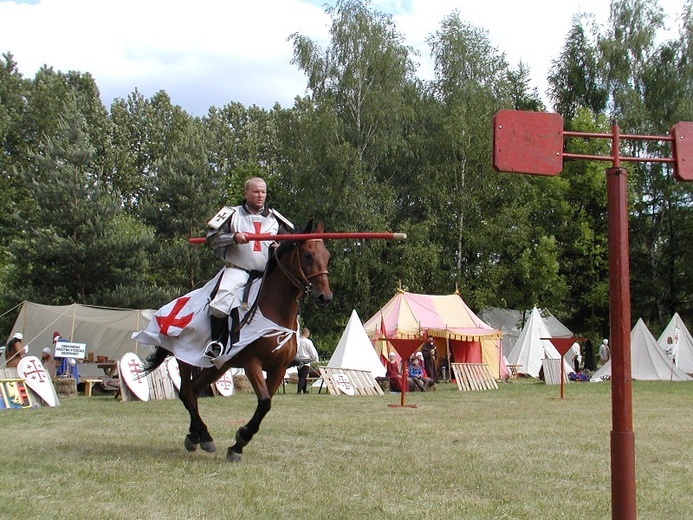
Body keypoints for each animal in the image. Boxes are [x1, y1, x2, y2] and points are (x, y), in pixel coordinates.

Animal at [142, 221, 332, 462]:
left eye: (327, 256)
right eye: (307, 255)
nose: (324, 297)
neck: (272, 312)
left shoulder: (278, 368)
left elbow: (266, 403)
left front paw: (239, 442)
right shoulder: (252, 363)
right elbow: (265, 401)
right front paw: (239, 441)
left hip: (218, 366)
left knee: (193, 391)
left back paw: (196, 435)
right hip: (186, 357)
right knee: (186, 393)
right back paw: (204, 436)